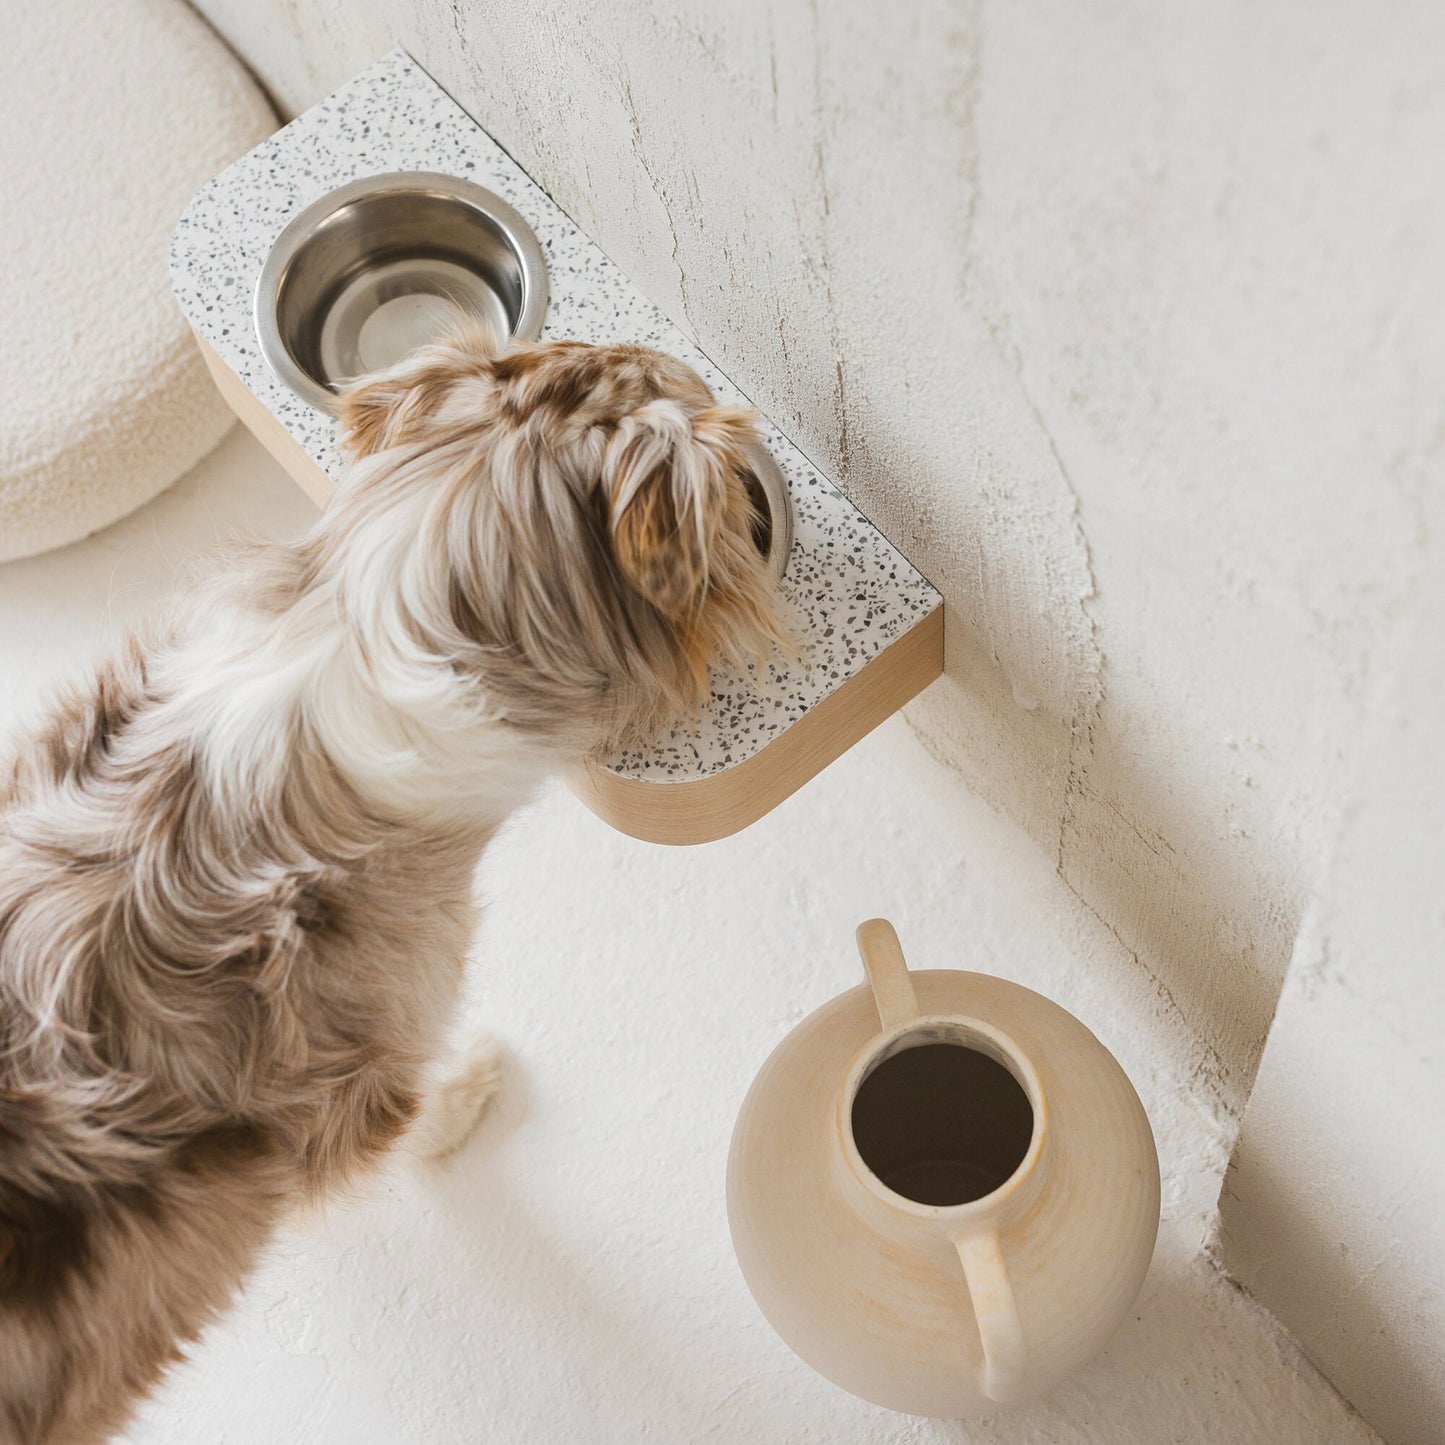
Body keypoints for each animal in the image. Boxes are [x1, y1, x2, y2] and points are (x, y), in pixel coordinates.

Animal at [0, 332, 780, 1439]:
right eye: (685, 388)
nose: (665, 344)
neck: (363, 623)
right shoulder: (376, 1048)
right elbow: (414, 1112)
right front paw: (472, 1088)